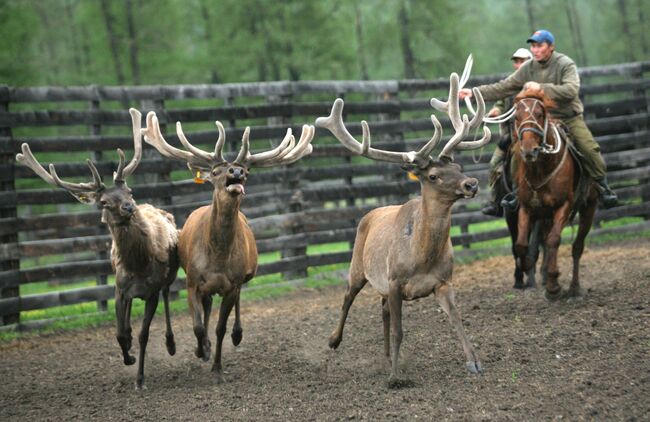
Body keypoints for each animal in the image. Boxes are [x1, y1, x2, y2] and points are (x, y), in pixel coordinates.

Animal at [17, 108, 180, 390]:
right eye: (104, 201)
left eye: (129, 191)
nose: (128, 207)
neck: (137, 265)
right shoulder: (119, 289)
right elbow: (120, 333)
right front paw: (128, 357)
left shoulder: (151, 290)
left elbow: (144, 334)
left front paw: (140, 379)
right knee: (128, 321)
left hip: (167, 278)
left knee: (169, 294)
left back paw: (170, 344)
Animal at [142, 112, 314, 382]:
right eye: (215, 171)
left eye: (247, 171)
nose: (236, 171)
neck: (218, 258)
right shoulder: (193, 281)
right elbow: (198, 326)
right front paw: (202, 350)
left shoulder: (232, 284)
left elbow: (220, 327)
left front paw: (217, 368)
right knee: (204, 308)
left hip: (243, 277)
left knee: (235, 303)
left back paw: (237, 334)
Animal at [316, 67, 492, 388]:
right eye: (433, 175)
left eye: (458, 168)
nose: (471, 184)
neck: (421, 256)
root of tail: (371, 212)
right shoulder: (396, 281)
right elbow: (400, 331)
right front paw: (395, 378)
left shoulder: (443, 282)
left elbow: (457, 320)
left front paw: (474, 362)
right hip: (358, 266)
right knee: (347, 297)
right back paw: (335, 341)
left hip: (382, 283)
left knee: (382, 309)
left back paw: (386, 357)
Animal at [512, 85, 596, 298]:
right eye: (516, 116)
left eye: (540, 114)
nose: (529, 150)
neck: (541, 169)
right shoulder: (526, 208)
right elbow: (521, 244)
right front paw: (528, 266)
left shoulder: (563, 206)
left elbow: (554, 241)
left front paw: (553, 286)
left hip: (589, 208)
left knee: (577, 247)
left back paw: (573, 288)